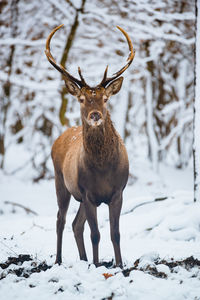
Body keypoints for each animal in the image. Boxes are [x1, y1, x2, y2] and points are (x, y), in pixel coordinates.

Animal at [45, 24, 135, 268]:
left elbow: (115, 233)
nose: (95, 115)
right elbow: (96, 234)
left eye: (105, 98)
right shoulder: (87, 193)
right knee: (61, 219)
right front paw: (96, 265)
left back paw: (83, 259)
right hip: (61, 181)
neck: (103, 169)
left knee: (76, 224)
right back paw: (59, 260)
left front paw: (119, 265)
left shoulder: (118, 192)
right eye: (82, 99)